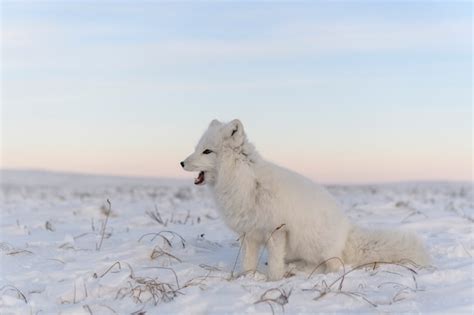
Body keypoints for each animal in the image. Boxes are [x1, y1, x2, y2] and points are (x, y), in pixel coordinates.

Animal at [181, 119, 430, 280]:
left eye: (207, 151)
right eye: (197, 149)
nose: (181, 163)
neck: (246, 182)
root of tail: (347, 232)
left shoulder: (277, 231)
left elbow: (275, 265)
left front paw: (273, 281)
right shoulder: (249, 234)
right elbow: (248, 262)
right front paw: (247, 277)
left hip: (317, 246)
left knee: (334, 267)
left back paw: (301, 271)